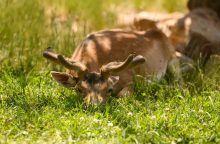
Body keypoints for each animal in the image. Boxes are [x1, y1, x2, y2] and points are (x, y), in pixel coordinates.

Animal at [43, 28, 180, 104]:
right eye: (79, 89)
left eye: (109, 89)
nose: (94, 105)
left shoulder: (130, 79)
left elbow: (122, 94)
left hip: (173, 60)